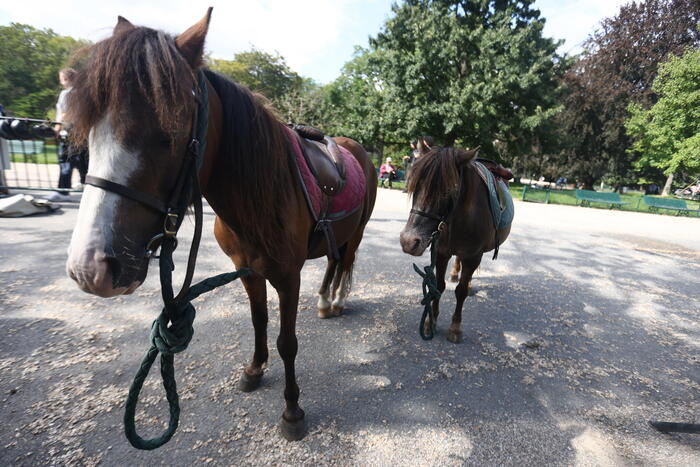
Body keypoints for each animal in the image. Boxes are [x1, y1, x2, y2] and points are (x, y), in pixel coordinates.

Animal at [65, 9, 378, 440]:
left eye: (169, 134)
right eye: (90, 131)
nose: (90, 268)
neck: (262, 193)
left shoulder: (288, 276)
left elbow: (287, 342)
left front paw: (292, 411)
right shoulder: (247, 270)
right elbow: (259, 321)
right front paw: (255, 370)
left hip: (357, 233)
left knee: (343, 263)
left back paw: (335, 300)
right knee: (333, 262)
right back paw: (325, 300)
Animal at [400, 149, 516, 344]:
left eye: (450, 190)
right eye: (414, 185)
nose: (409, 241)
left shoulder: (474, 256)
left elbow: (460, 292)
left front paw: (455, 327)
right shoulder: (441, 253)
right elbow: (438, 286)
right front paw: (431, 321)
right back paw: (455, 273)